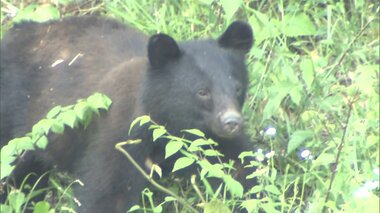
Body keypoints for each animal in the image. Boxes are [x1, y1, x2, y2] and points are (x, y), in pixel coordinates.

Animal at [0, 15, 255, 212]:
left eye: (238, 88)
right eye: (202, 91)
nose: (232, 122)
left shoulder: (212, 139)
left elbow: (241, 171)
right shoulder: (122, 135)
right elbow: (107, 194)